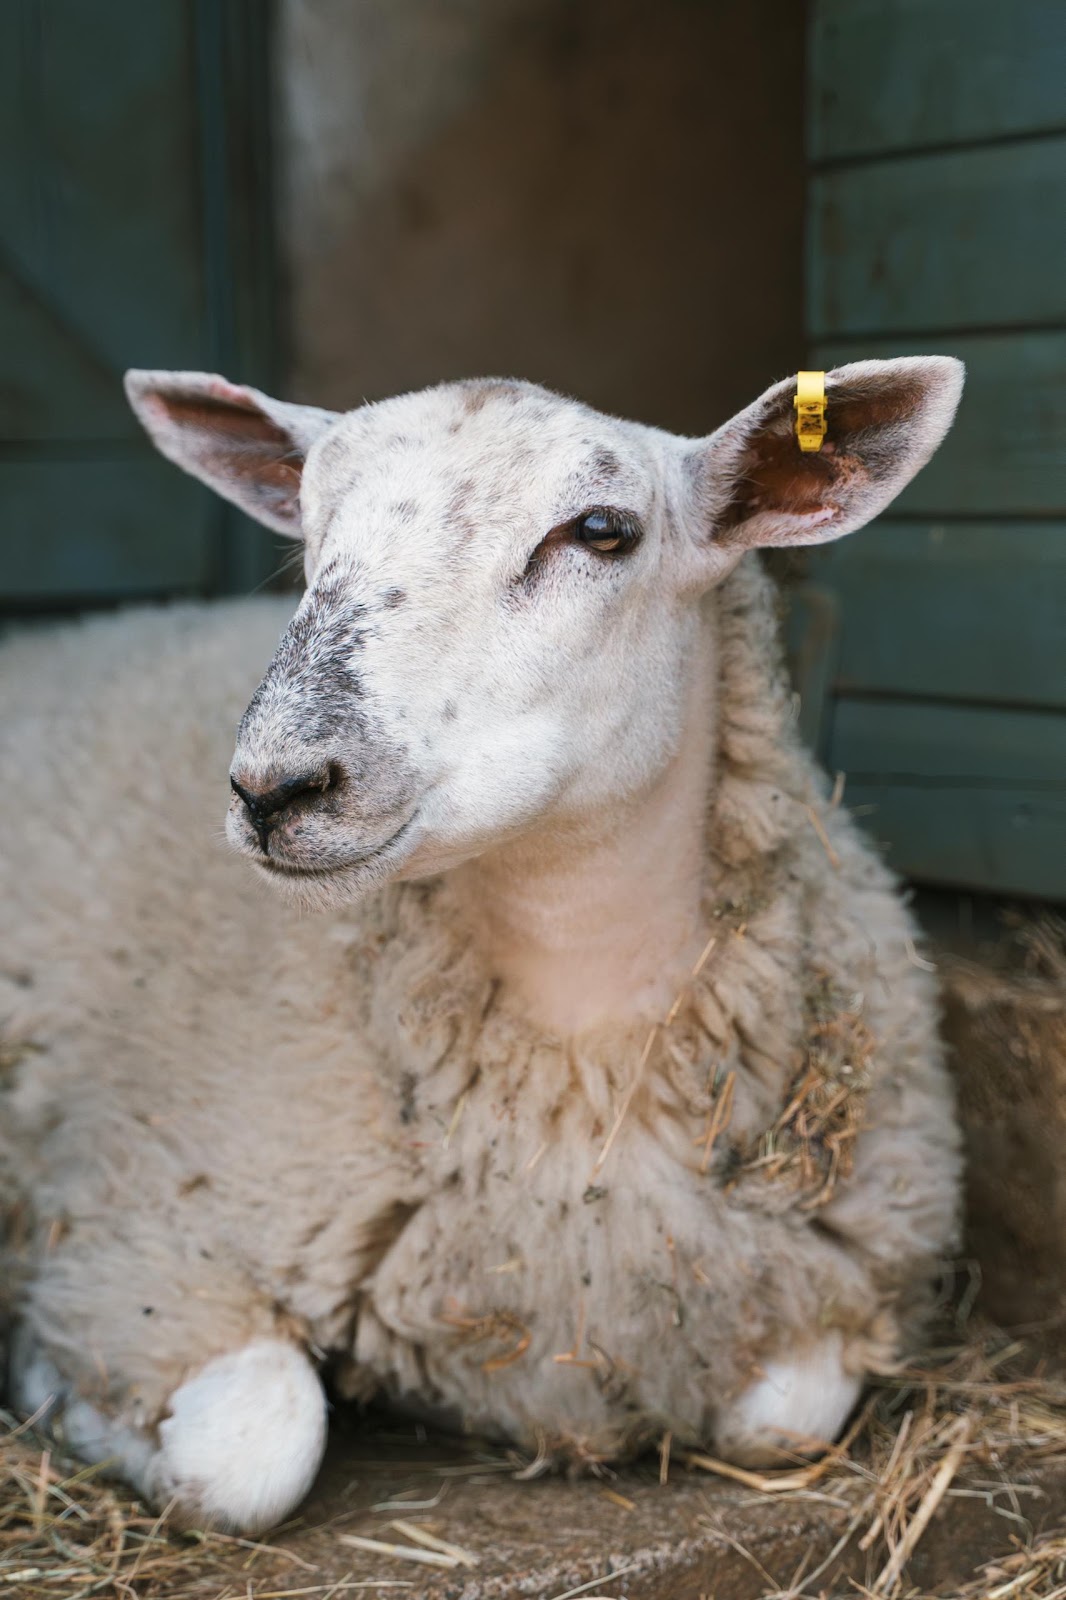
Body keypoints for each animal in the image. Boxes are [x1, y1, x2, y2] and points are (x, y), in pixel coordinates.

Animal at [0, 357, 964, 1535]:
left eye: (600, 531)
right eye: (310, 531)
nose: (275, 787)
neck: (584, 1076)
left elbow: (786, 1414)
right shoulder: (142, 1241)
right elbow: (250, 1450)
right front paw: (45, 1379)